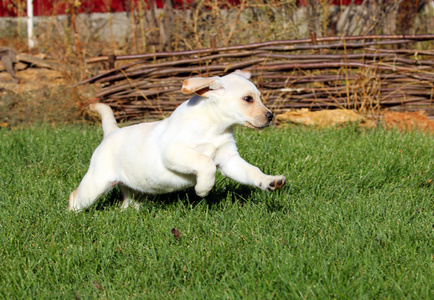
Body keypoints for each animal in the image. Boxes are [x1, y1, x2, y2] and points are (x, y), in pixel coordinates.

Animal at [68, 70, 284, 211]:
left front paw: (270, 181)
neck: (213, 126)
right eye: (248, 99)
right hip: (95, 183)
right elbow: (206, 162)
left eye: (259, 97)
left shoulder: (229, 160)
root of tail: (112, 132)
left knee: (127, 203)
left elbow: (252, 171)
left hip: (132, 188)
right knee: (74, 197)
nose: (270, 116)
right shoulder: (173, 153)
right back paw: (72, 217)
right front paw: (203, 189)